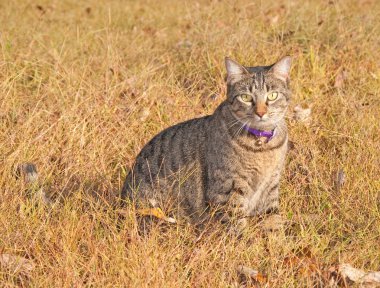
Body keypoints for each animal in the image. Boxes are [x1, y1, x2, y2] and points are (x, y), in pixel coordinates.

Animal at [121, 55, 290, 227]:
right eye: (246, 97)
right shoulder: (228, 190)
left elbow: (274, 221)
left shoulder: (270, 187)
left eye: (272, 95)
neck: (261, 145)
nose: (261, 113)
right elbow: (236, 227)